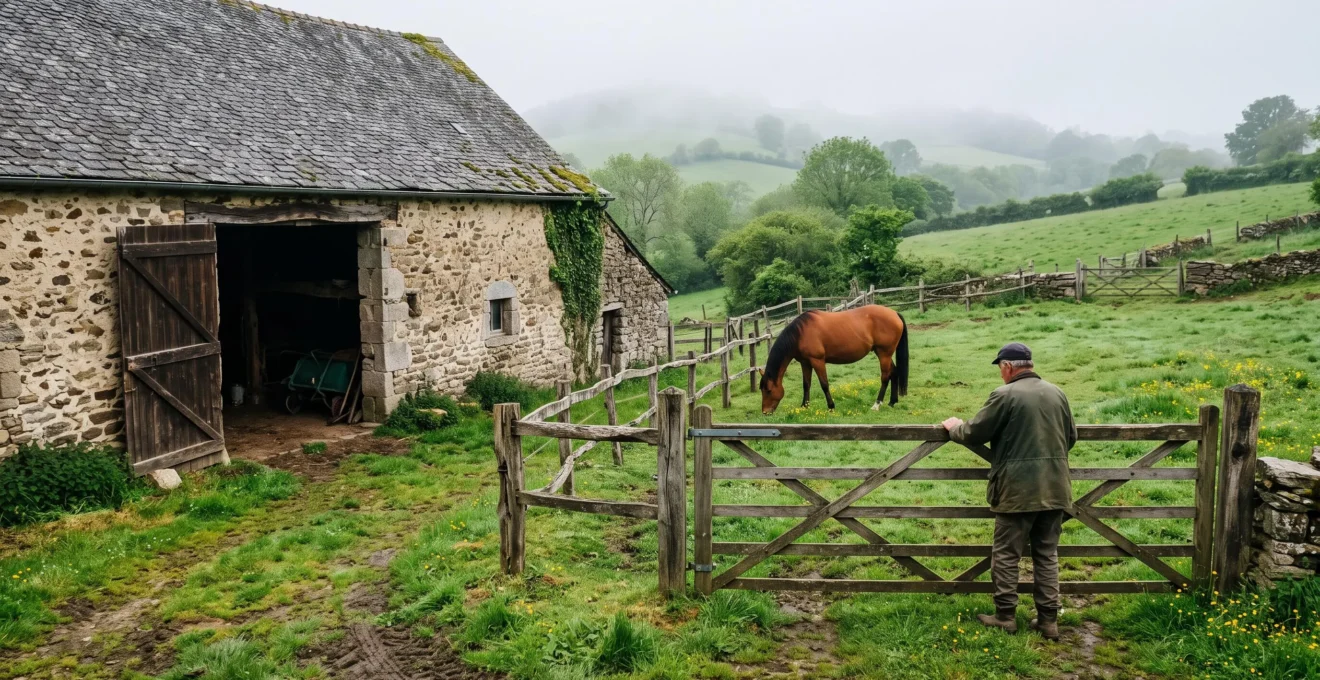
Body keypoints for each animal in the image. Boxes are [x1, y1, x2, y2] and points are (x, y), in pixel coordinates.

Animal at [759, 305, 909, 414]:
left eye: (769, 390)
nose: (765, 412)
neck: (800, 334)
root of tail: (894, 313)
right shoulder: (805, 363)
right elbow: (806, 384)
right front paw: (804, 406)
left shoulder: (817, 361)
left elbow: (824, 384)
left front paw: (831, 406)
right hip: (882, 353)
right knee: (894, 372)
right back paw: (892, 402)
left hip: (884, 354)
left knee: (885, 377)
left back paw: (877, 404)